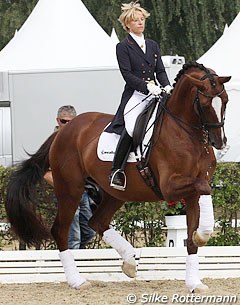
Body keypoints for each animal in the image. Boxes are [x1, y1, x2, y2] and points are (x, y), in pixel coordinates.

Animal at [5, 61, 231, 290]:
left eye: (225, 101)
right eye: (204, 103)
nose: (219, 142)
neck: (187, 133)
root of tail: (62, 131)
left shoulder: (192, 191)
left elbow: (193, 238)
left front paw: (194, 282)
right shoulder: (170, 187)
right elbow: (204, 188)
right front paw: (202, 235)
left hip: (115, 193)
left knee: (97, 222)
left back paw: (130, 261)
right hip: (70, 189)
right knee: (60, 230)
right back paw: (78, 281)